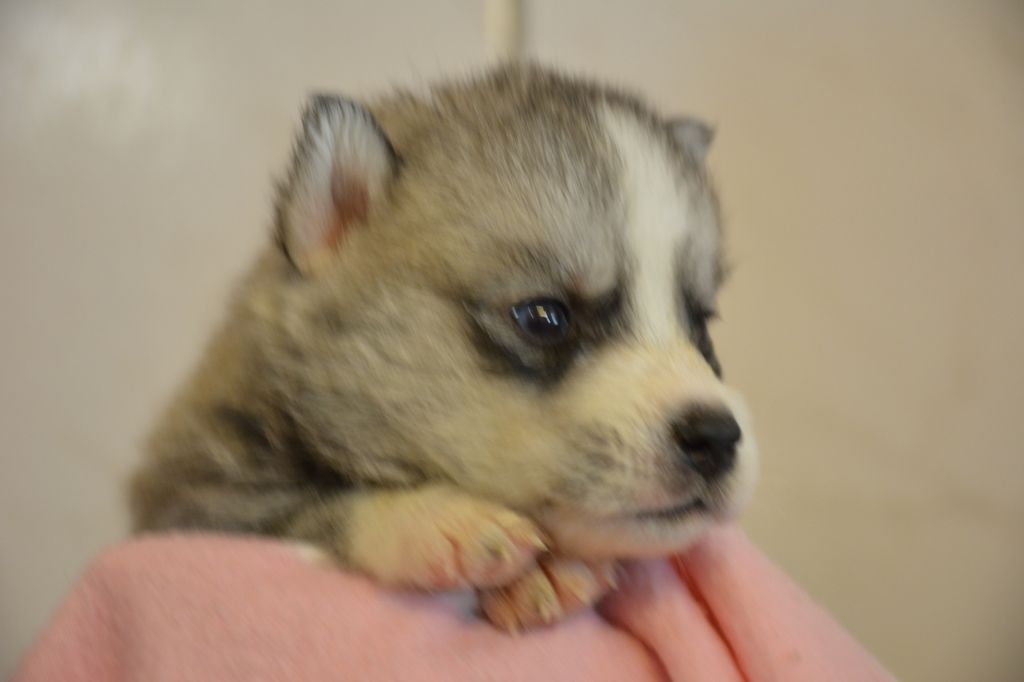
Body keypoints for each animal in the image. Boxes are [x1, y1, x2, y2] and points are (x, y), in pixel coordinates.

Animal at [129, 63, 758, 631]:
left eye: (701, 324)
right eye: (544, 318)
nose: (717, 437)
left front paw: (545, 573)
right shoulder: (194, 499)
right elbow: (320, 506)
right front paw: (437, 519)